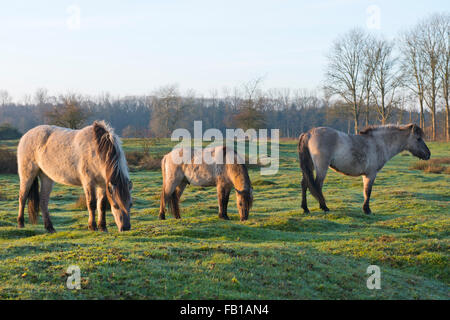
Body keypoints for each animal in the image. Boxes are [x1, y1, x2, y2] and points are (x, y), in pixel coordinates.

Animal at [298, 124, 430, 214]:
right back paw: (324, 207)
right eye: (418, 138)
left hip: (310, 166)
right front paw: (367, 210)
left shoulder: (365, 175)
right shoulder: (371, 174)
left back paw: (305, 208)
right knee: (317, 185)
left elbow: (365, 191)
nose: (428, 154)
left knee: (305, 184)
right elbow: (368, 191)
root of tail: (308, 133)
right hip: (321, 167)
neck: (378, 143)